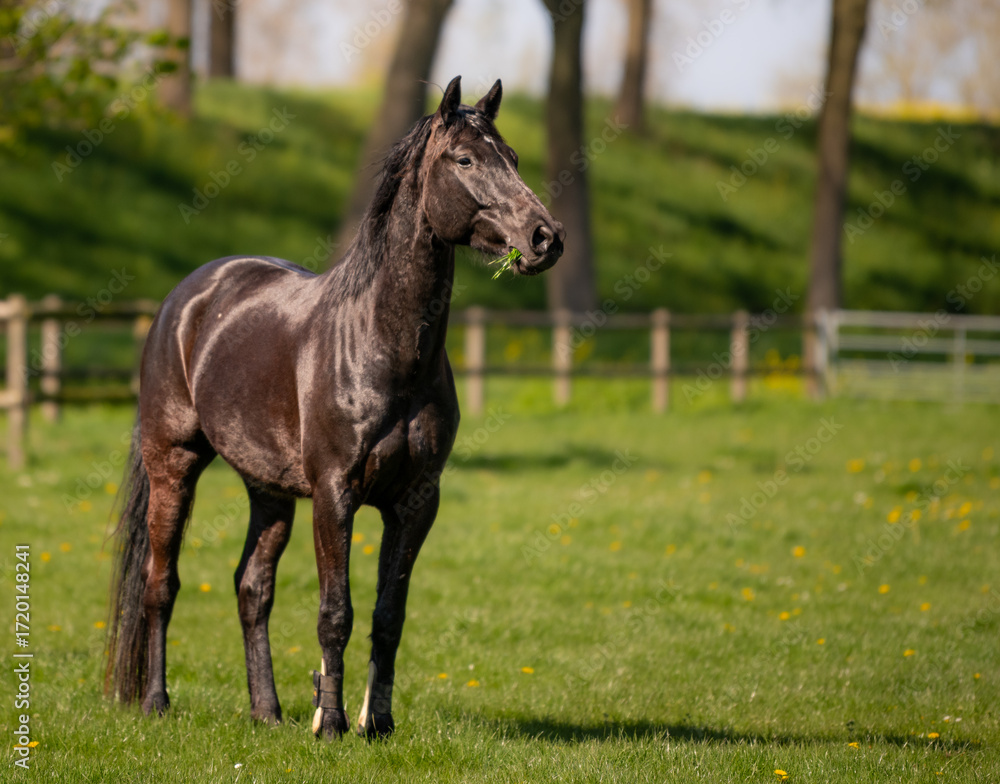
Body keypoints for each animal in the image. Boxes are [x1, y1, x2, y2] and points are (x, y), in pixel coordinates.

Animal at [104, 76, 564, 740]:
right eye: (465, 160)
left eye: (516, 159)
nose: (545, 239)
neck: (383, 346)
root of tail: (187, 297)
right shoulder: (334, 494)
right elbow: (335, 611)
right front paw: (332, 722)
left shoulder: (416, 501)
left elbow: (388, 614)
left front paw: (379, 722)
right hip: (174, 464)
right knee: (160, 583)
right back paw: (156, 703)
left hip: (268, 490)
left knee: (252, 588)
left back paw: (267, 713)